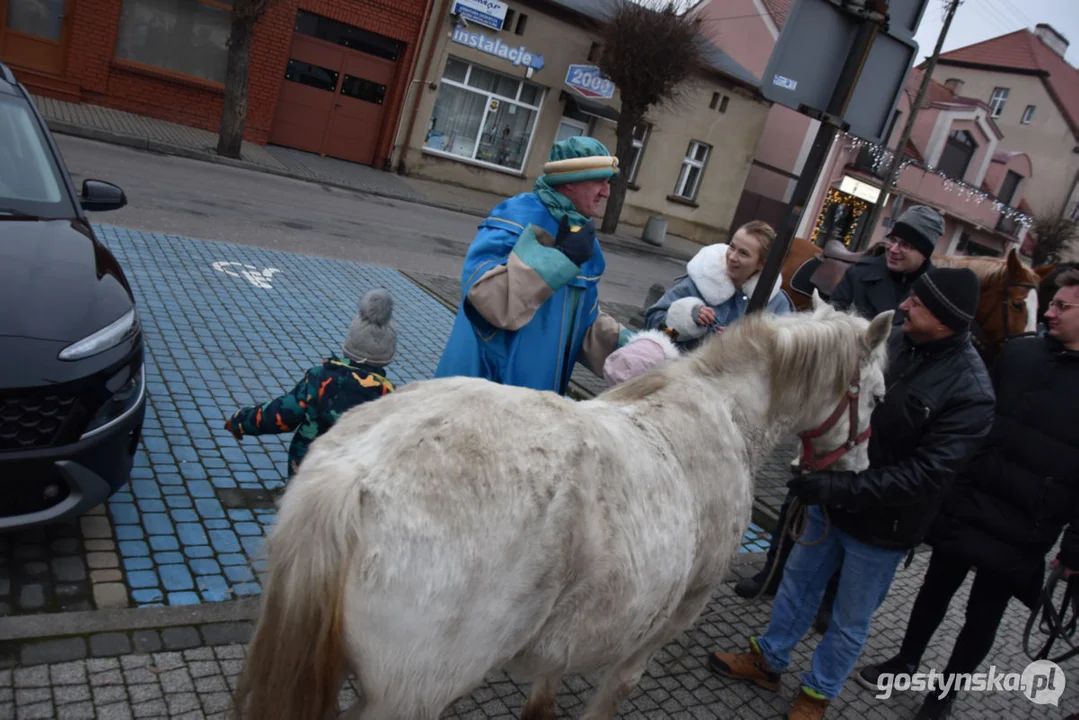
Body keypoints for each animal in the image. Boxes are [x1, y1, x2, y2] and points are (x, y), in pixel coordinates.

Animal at [229, 300, 893, 720]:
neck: (724, 413)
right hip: (408, 698)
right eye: (879, 396)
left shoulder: (580, 631)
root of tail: (356, 473)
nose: (859, 472)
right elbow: (613, 693)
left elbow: (545, 692)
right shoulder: (658, 630)